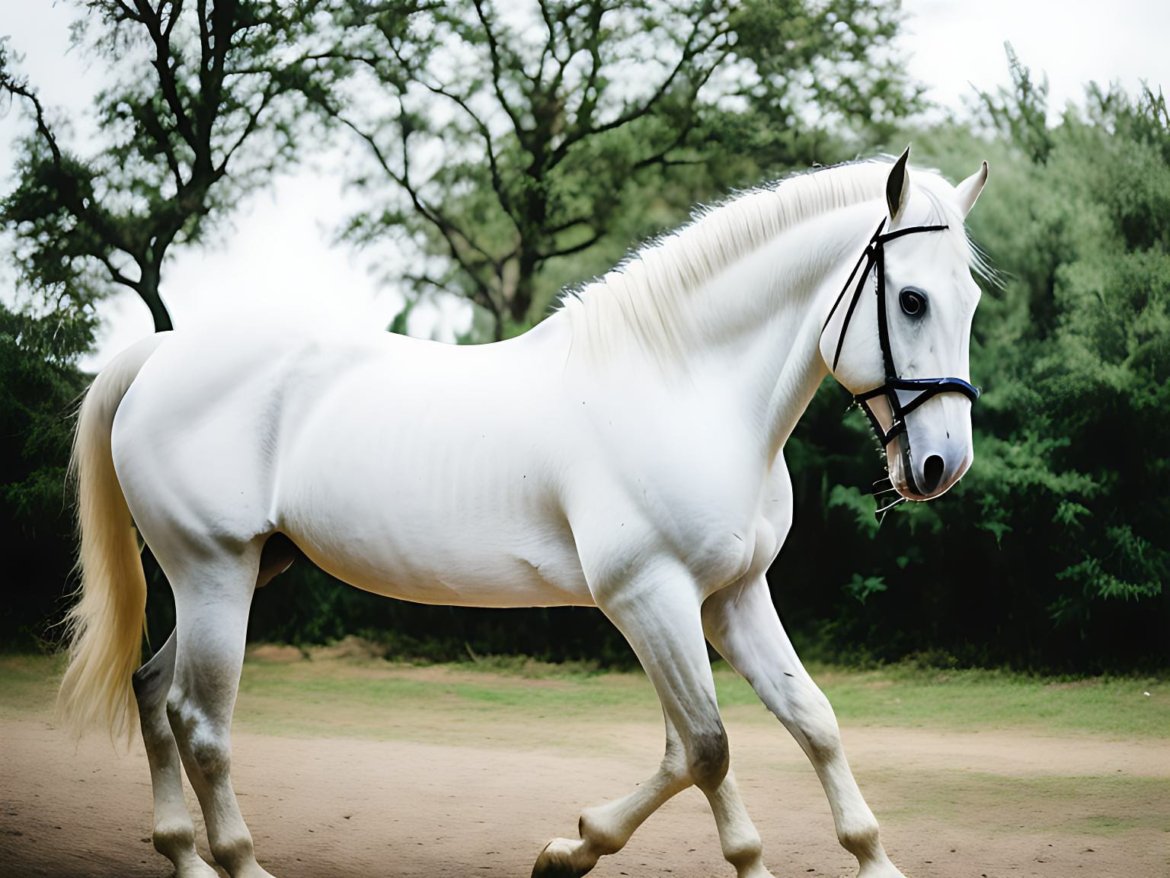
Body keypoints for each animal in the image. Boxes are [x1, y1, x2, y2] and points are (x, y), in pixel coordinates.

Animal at [58, 147, 988, 878]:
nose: (940, 466)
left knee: (152, 693)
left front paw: (870, 859)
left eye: (970, 303)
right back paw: (238, 862)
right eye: (911, 301)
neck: (683, 387)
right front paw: (590, 848)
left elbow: (805, 722)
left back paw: (184, 855)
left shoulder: (732, 595)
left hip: (243, 570)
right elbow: (706, 746)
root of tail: (160, 354)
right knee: (198, 721)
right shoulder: (649, 599)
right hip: (212, 572)